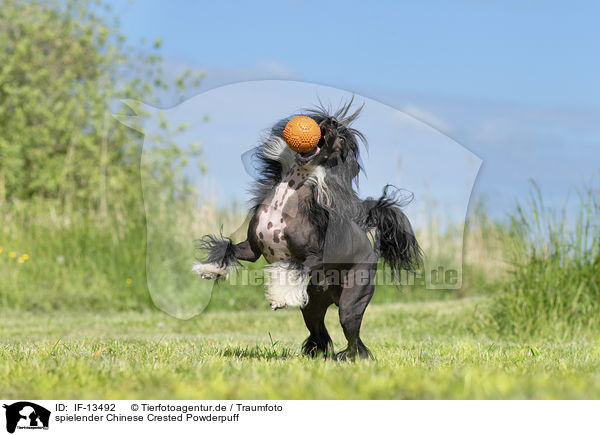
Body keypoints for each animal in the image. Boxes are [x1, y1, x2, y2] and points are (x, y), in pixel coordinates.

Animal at [195, 100, 420, 360]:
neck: (292, 188)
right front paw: (210, 269)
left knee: (354, 338)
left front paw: (278, 297)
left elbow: (296, 268)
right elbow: (227, 248)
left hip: (351, 303)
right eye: (331, 126)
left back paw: (350, 357)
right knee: (319, 331)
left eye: (341, 140)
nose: (331, 121)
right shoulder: (252, 249)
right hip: (312, 304)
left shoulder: (315, 256)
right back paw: (316, 352)